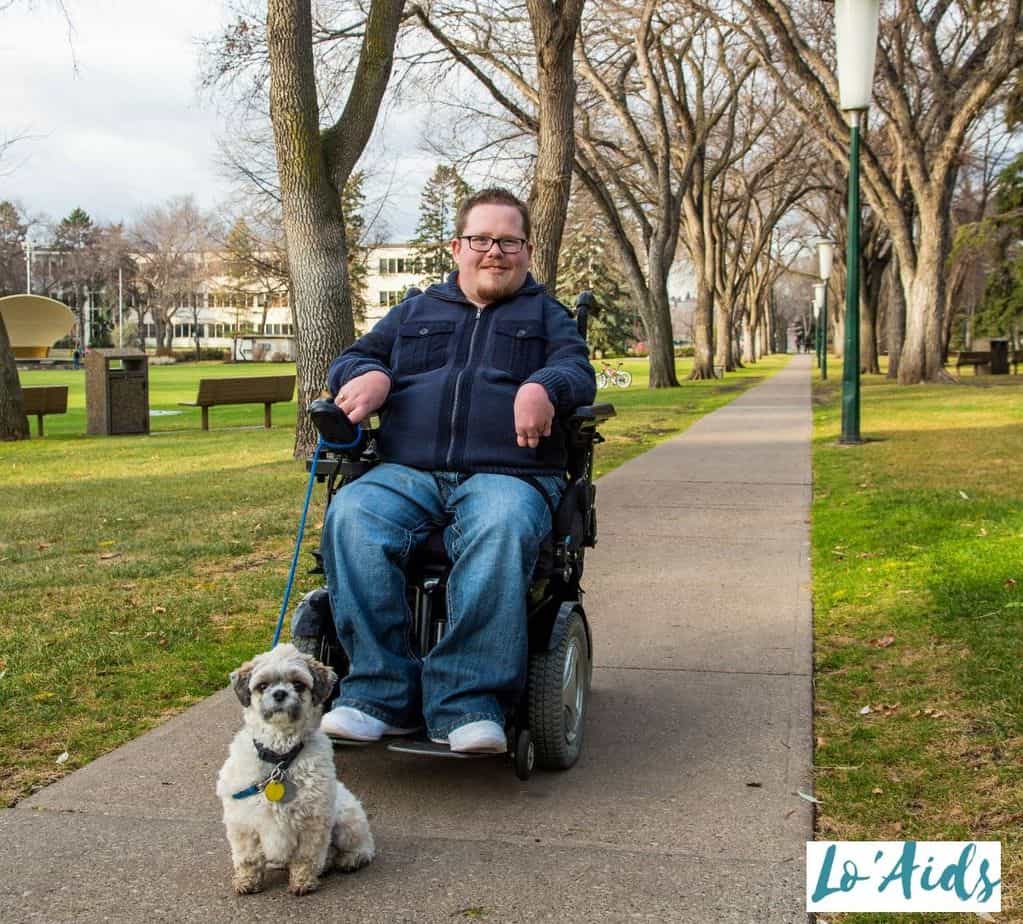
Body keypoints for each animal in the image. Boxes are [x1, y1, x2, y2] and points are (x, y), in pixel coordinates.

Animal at [215, 642, 376, 896]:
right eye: (262, 686)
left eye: (298, 684)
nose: (280, 693)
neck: (280, 757)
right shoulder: (244, 823)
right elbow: (248, 858)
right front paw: (247, 881)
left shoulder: (312, 822)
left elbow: (305, 858)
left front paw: (303, 881)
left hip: (347, 822)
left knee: (364, 846)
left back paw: (348, 859)